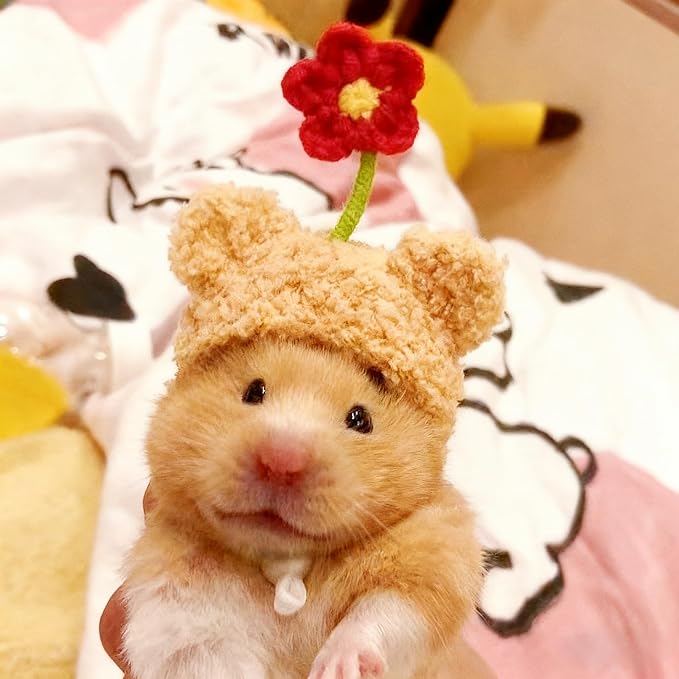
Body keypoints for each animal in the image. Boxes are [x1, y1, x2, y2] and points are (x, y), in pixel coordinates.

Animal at [122, 338, 486, 679]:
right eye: (254, 391)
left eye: (361, 419)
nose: (281, 461)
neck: (285, 562)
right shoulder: (173, 613)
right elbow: (209, 654)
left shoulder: (436, 558)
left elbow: (383, 612)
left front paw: (338, 667)